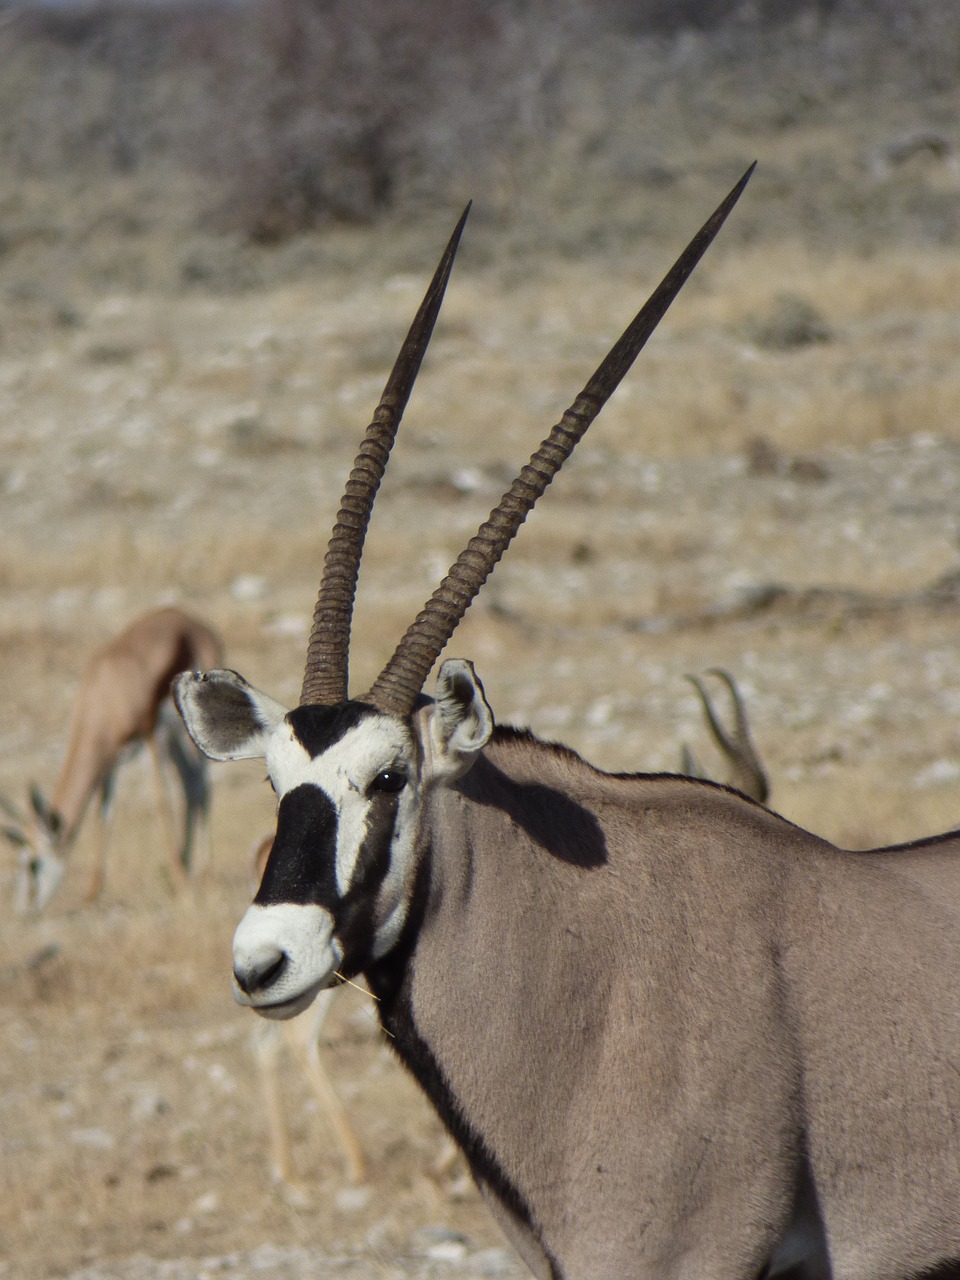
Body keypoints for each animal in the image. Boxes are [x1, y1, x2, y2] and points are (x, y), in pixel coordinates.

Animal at [4, 601, 221, 911]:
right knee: (191, 784)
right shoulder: (111, 760)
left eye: (33, 864)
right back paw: (188, 865)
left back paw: (204, 874)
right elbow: (104, 811)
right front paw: (92, 892)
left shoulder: (151, 734)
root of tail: (193, 623)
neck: (106, 691)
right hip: (177, 737)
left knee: (202, 785)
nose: (24, 910)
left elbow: (160, 800)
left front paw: (182, 884)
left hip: (189, 732)